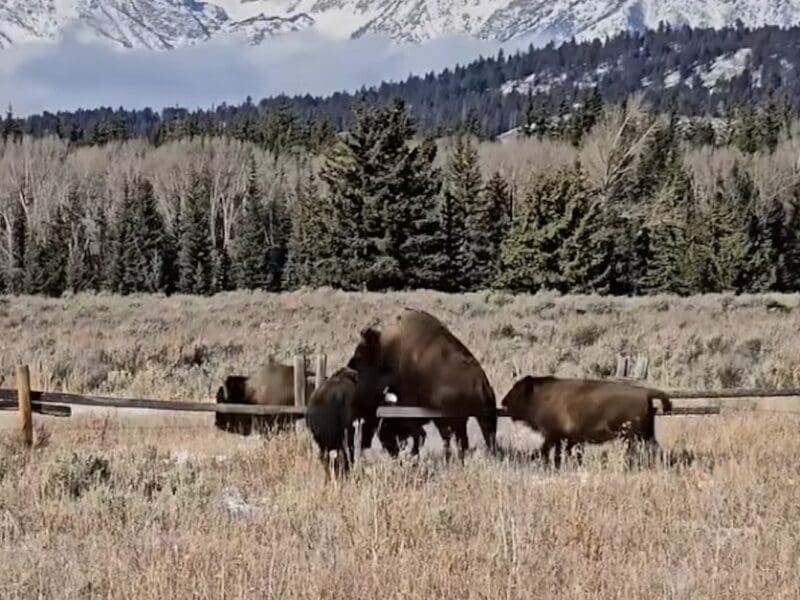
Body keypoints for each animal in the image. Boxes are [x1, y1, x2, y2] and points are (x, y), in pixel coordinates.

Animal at [347, 308, 497, 460]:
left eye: (359, 357)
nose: (391, 450)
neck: (386, 351)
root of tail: (480, 383)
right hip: (482, 420)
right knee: (481, 440)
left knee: (458, 441)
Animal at [501, 375, 672, 467]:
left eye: (517, 389)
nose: (503, 401)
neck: (543, 396)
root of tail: (645, 393)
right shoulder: (568, 440)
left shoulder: (554, 436)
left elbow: (548, 452)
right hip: (645, 436)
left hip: (632, 437)